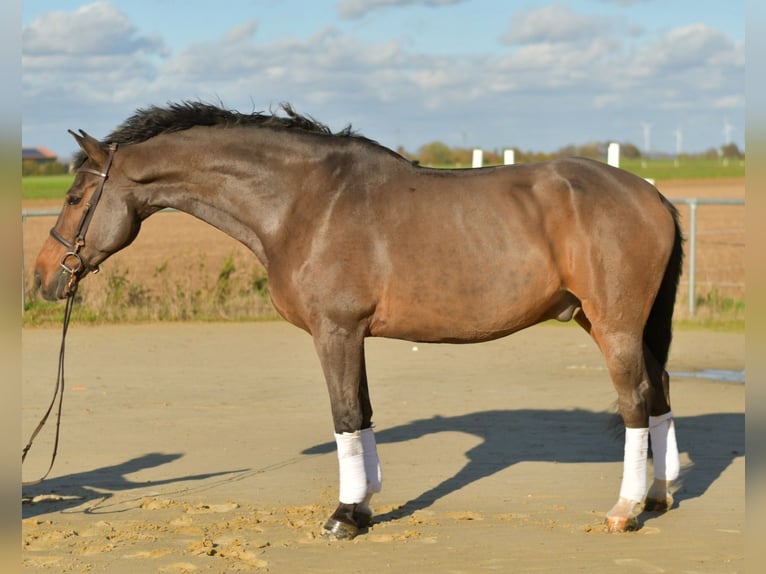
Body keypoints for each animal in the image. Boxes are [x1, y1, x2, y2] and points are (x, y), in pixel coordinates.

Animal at [34, 102, 683, 539]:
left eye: (73, 198)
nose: (43, 277)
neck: (305, 203)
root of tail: (650, 194)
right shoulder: (353, 335)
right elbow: (364, 414)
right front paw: (366, 504)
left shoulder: (336, 332)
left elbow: (345, 416)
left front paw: (345, 516)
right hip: (611, 325)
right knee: (658, 393)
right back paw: (659, 496)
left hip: (614, 327)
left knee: (634, 402)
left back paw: (625, 510)